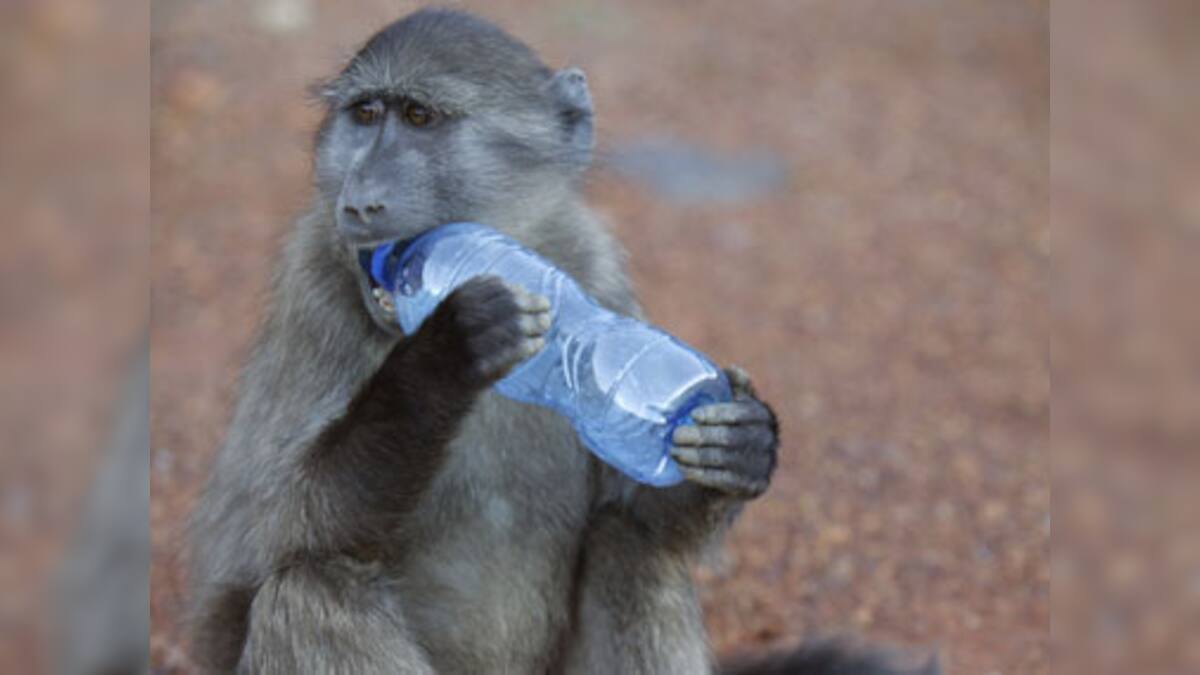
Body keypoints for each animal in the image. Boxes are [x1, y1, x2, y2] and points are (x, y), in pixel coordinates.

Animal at [187, 9, 937, 674]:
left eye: (421, 118)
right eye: (366, 115)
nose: (361, 201)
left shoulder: (594, 266)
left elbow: (634, 510)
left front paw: (741, 442)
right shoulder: (312, 279)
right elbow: (257, 540)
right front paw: (443, 354)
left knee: (630, 550)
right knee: (312, 589)